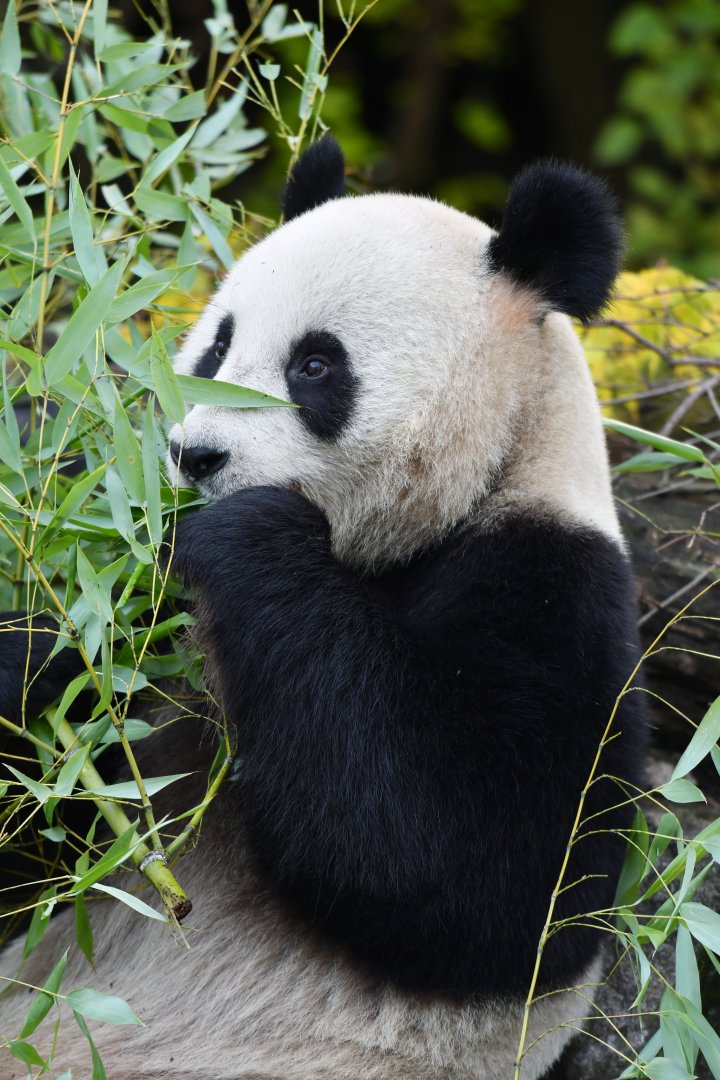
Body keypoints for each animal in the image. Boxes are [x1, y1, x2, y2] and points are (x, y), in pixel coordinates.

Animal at [0, 136, 645, 1080]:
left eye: (315, 365)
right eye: (216, 346)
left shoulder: (556, 590)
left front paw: (248, 532)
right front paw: (43, 641)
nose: (195, 456)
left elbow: (485, 876)